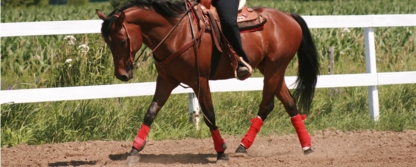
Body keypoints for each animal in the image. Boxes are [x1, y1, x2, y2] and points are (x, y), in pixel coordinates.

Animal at [96, 0, 320, 164]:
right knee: (289, 103)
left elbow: (209, 115)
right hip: (273, 70)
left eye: (122, 40)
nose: (122, 75)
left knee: (267, 104)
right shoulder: (166, 80)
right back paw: (305, 147)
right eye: (107, 41)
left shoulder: (199, 80)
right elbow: (151, 112)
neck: (177, 32)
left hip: (275, 69)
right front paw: (134, 150)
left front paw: (221, 152)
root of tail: (288, 16)